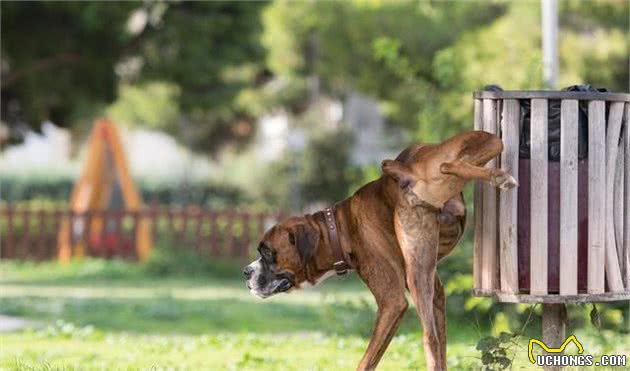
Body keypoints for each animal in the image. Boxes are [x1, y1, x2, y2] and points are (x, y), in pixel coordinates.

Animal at [244, 132, 516, 371]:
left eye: (267, 252)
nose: (246, 272)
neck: (339, 228)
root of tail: (408, 171)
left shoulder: (391, 303)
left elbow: (367, 361)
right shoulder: (437, 294)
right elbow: (443, 349)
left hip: (416, 276)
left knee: (429, 338)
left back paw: (500, 177)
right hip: (484, 143)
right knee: (452, 163)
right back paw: (497, 176)